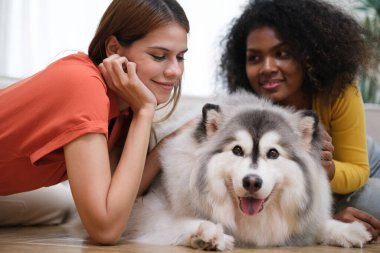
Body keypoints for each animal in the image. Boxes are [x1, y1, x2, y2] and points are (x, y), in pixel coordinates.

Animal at [125, 92, 372, 249]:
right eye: (237, 150)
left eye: (273, 153)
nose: (252, 182)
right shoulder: (144, 210)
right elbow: (182, 221)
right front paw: (210, 233)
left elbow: (315, 225)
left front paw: (350, 230)